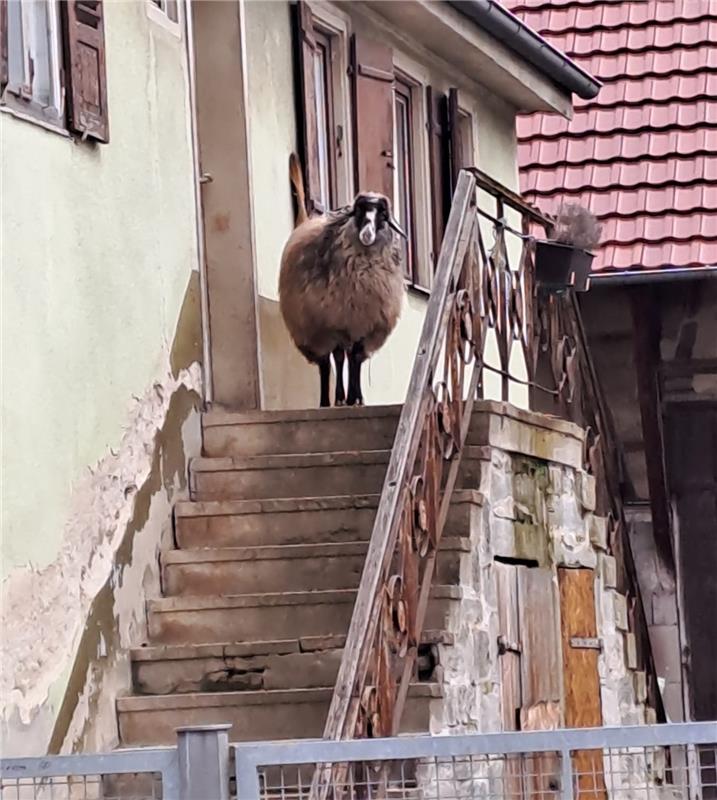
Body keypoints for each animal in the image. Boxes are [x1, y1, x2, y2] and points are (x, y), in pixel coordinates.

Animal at [278, 154, 406, 410]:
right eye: (358, 212)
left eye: (382, 215)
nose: (367, 234)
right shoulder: (335, 322)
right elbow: (337, 359)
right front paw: (340, 398)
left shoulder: (363, 325)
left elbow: (355, 359)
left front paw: (356, 398)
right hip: (315, 332)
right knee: (326, 364)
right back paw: (326, 402)